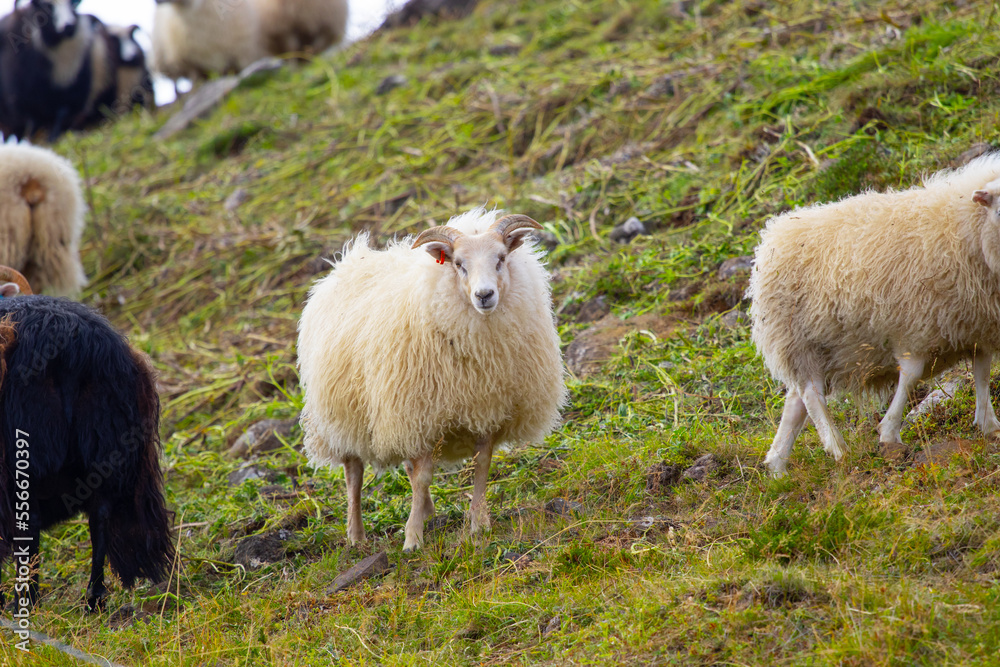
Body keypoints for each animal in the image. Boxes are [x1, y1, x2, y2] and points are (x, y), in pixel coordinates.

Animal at [0, 0, 95, 141]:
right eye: (47, 6)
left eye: (72, 3)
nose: (68, 26)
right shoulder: (24, 96)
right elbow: (33, 120)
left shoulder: (71, 92)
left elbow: (61, 114)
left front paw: (53, 137)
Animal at [0, 266, 174, 611]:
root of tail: (71, 343)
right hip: (105, 443)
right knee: (100, 516)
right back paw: (94, 597)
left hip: (26, 451)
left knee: (30, 522)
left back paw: (26, 601)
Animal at [298, 208, 566, 551]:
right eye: (458, 263)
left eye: (502, 258)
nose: (484, 295)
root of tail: (344, 264)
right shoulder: (420, 415)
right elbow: (423, 477)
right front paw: (413, 539)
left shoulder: (486, 409)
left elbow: (481, 466)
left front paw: (479, 523)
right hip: (346, 419)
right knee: (354, 474)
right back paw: (356, 536)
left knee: (408, 469)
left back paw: (425, 509)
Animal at [748, 152, 1000, 476]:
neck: (966, 227)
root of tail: (773, 235)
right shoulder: (916, 327)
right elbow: (910, 376)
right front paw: (889, 433)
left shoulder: (977, 326)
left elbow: (982, 373)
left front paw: (989, 424)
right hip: (798, 341)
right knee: (811, 395)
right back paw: (837, 448)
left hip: (818, 349)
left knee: (795, 402)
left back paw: (778, 464)